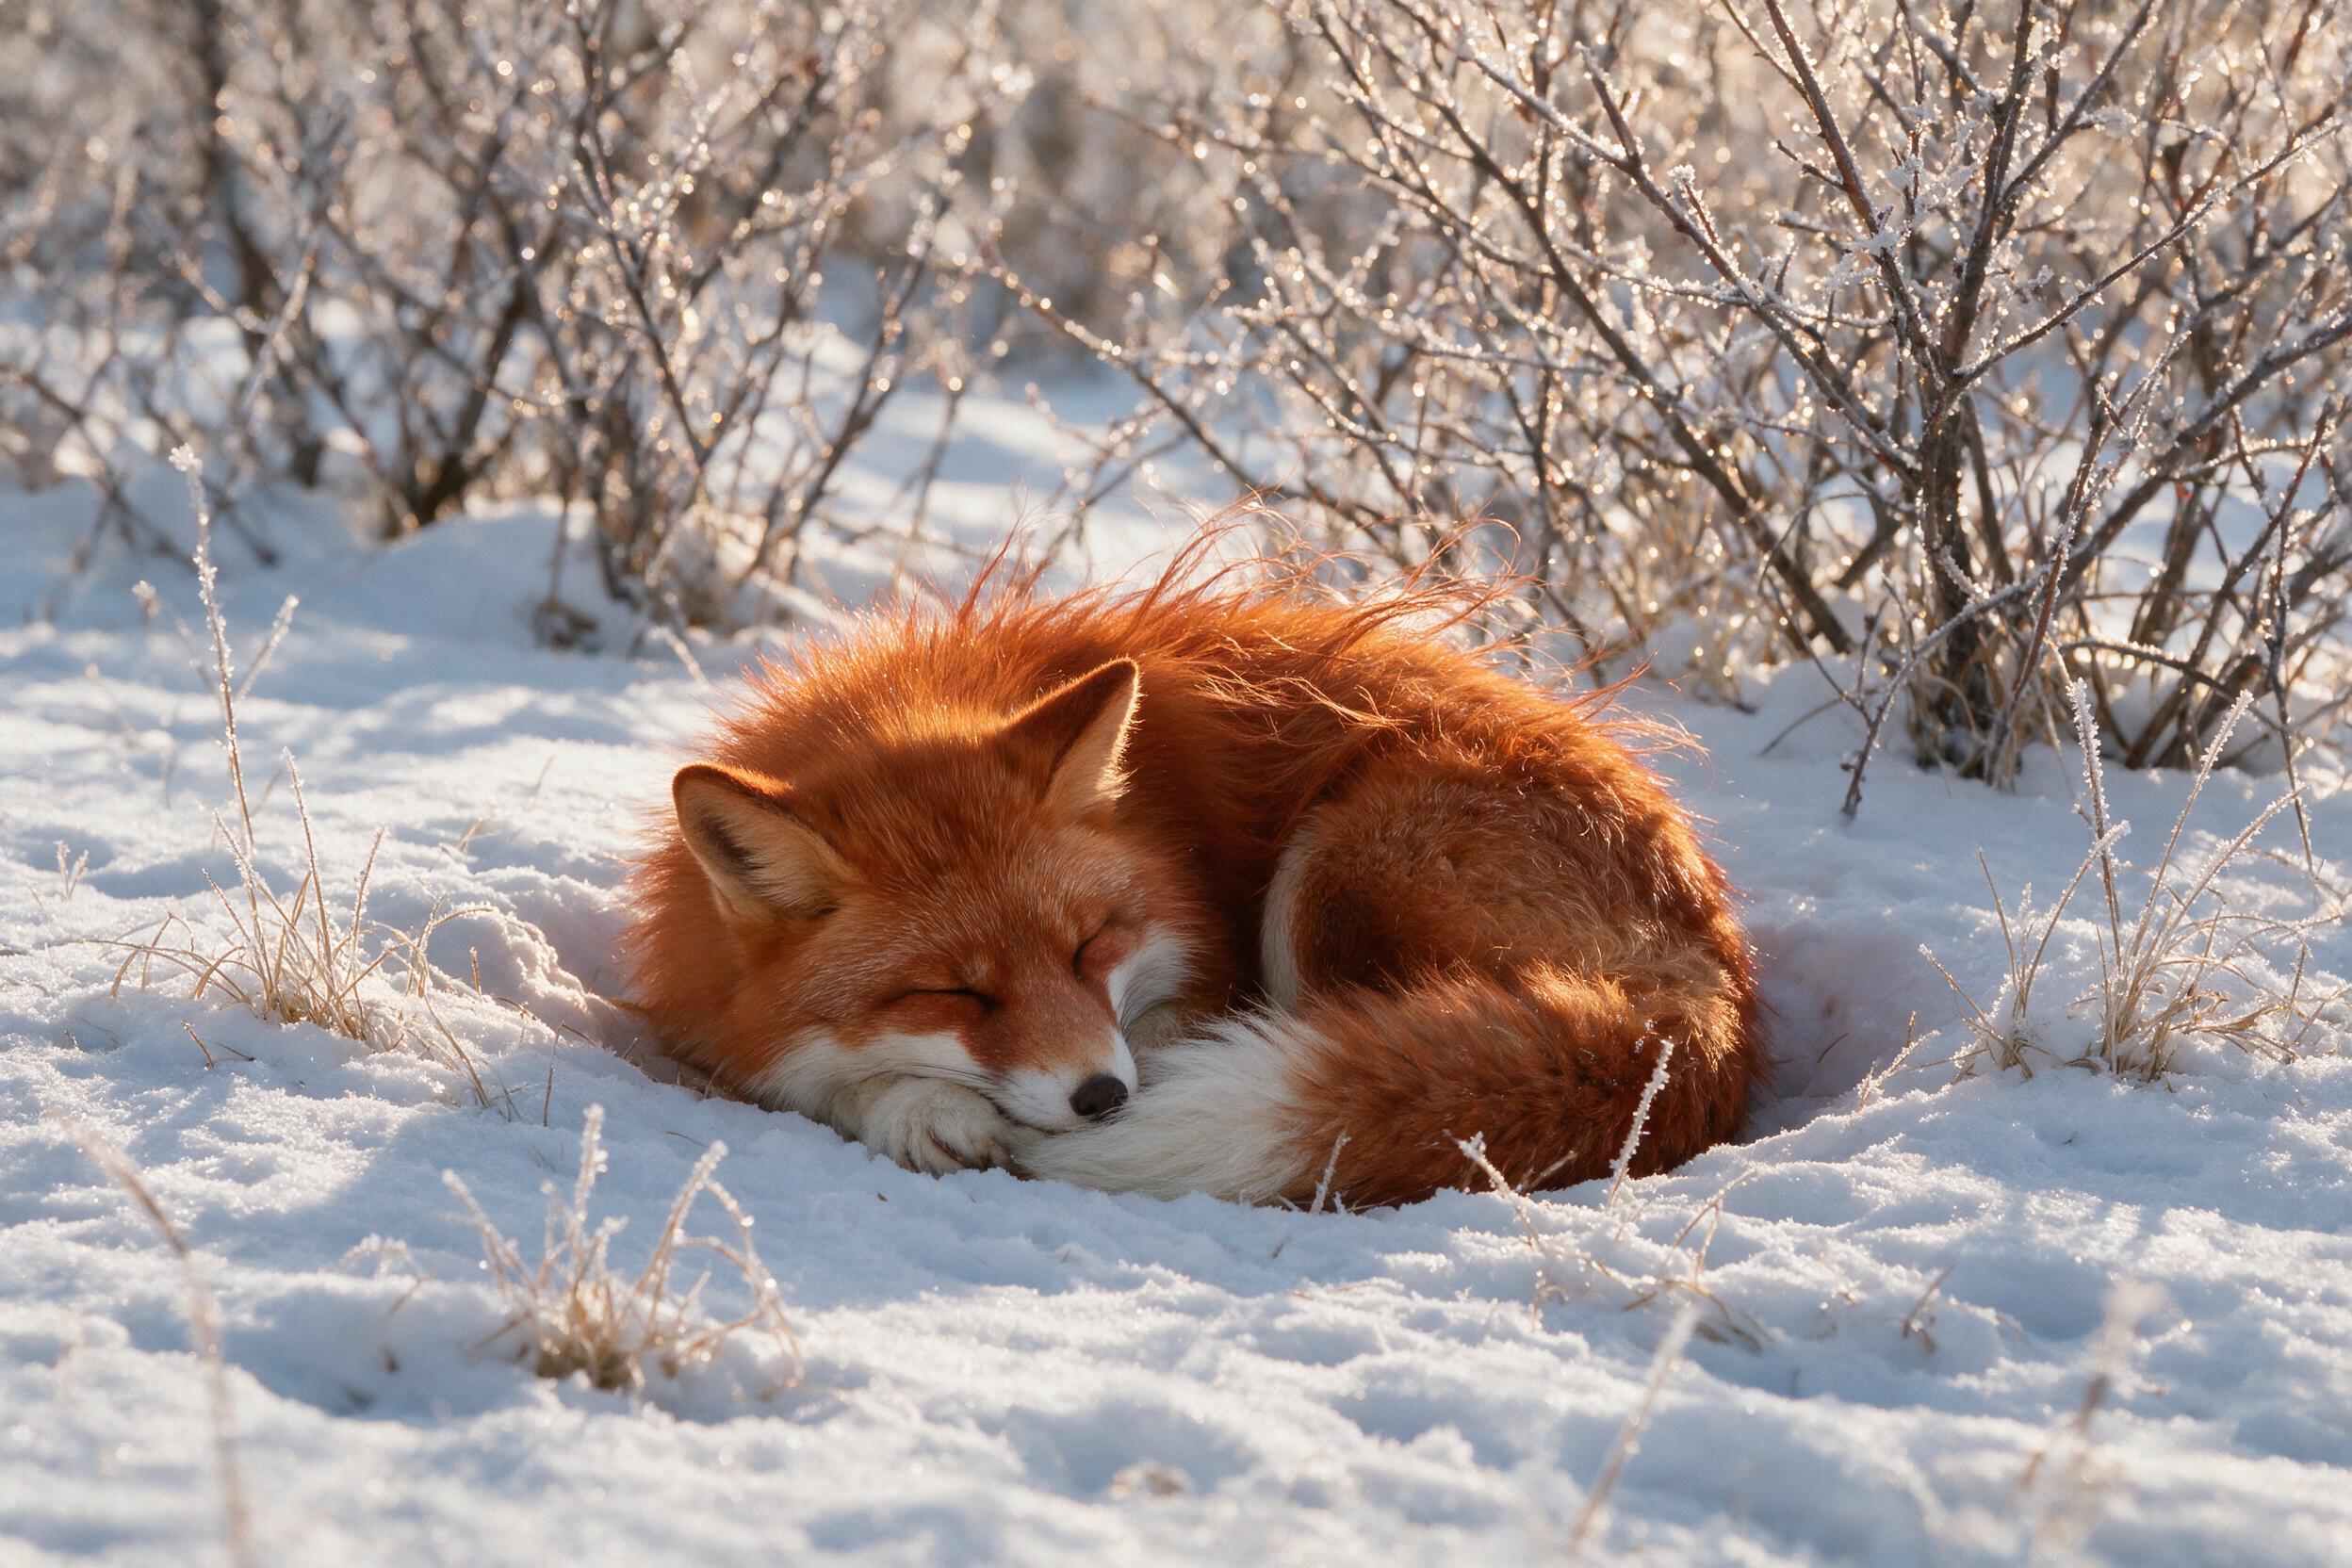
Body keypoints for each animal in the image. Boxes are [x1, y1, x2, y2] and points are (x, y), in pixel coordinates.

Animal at [623, 560, 1761, 1208]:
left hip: (1331, 871)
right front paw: (913, 1102)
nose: (1103, 1096)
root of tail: (1709, 993)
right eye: (955, 993)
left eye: (1091, 945)